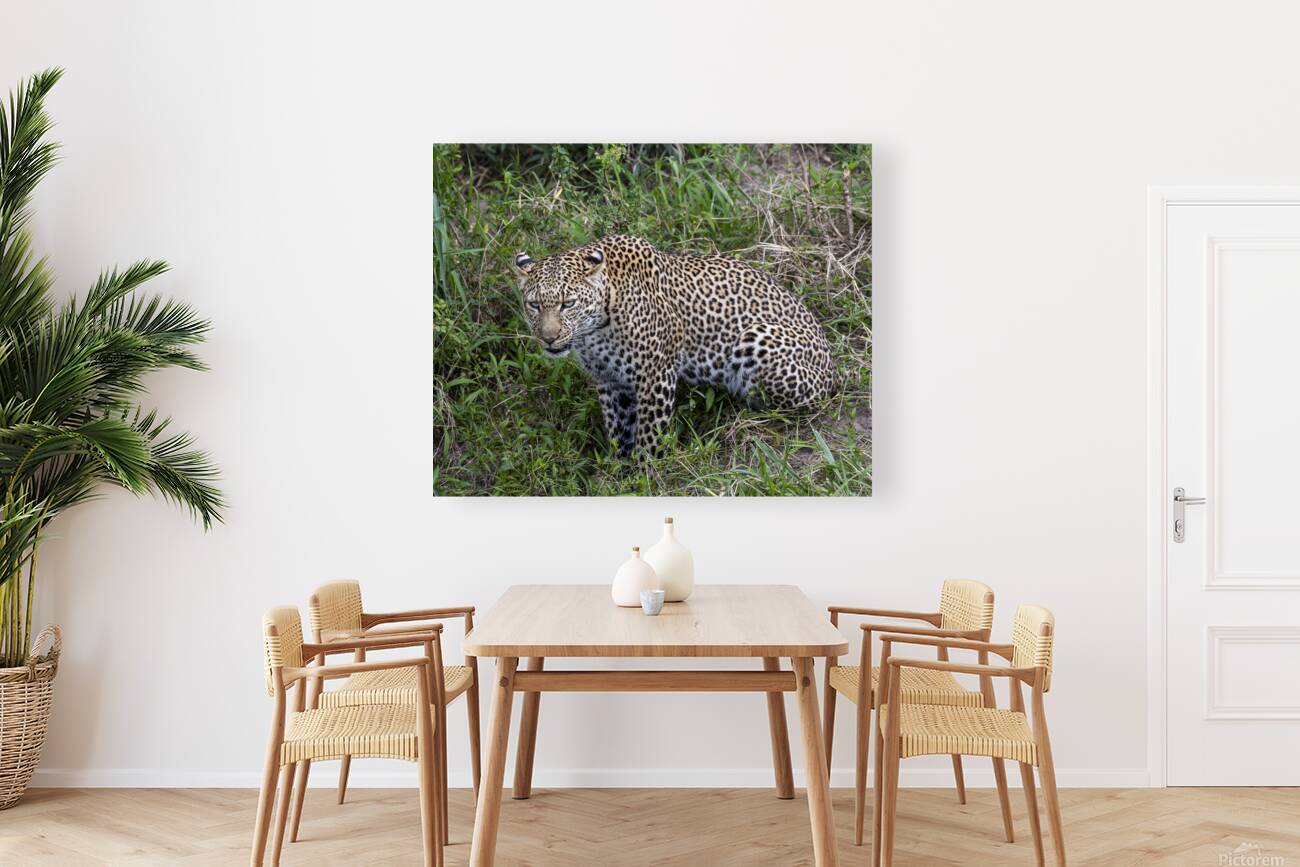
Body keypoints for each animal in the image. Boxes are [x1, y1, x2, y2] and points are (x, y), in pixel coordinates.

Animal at [514, 234, 837, 456]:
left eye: (568, 304)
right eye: (534, 305)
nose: (548, 337)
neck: (594, 331)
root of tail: (834, 370)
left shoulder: (655, 374)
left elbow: (649, 435)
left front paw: (645, 474)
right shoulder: (609, 381)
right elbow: (618, 431)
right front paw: (619, 471)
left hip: (757, 338)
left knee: (794, 407)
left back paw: (738, 416)